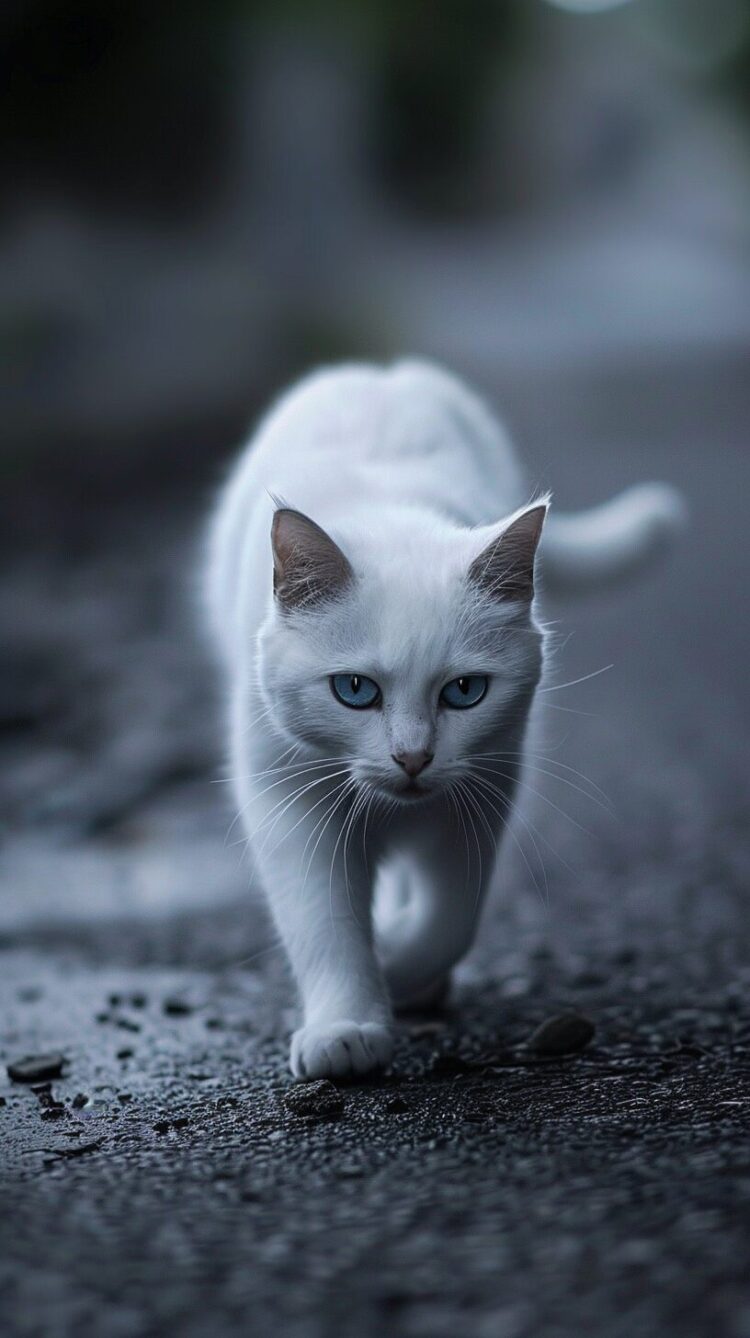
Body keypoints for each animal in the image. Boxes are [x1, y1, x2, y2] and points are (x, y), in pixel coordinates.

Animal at [201, 361, 681, 1081]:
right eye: (354, 690)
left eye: (463, 692)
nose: (413, 758)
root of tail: (384, 371)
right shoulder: (289, 800)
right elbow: (324, 924)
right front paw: (346, 1026)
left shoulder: (480, 796)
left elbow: (450, 920)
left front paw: (399, 964)